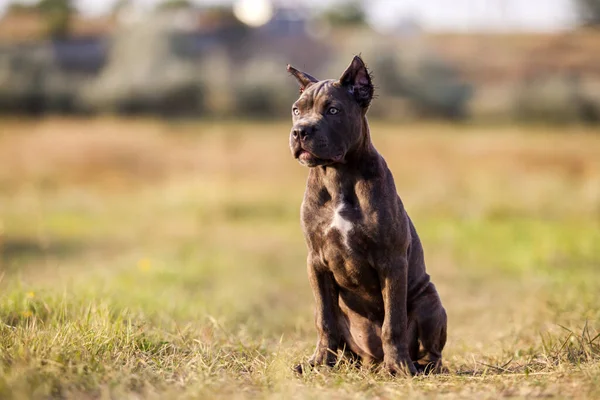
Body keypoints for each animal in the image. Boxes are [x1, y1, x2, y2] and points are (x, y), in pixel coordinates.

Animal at [288, 55, 448, 376]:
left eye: (333, 110)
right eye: (297, 110)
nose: (300, 131)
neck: (337, 176)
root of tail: (370, 359)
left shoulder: (392, 261)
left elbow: (393, 322)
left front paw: (398, 366)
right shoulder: (316, 262)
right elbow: (324, 320)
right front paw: (319, 362)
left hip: (430, 300)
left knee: (432, 350)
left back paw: (417, 366)